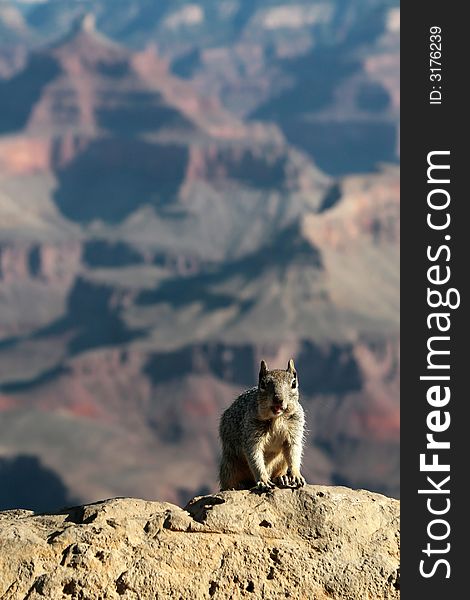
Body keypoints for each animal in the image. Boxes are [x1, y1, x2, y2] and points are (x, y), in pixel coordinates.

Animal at [218, 356, 306, 492]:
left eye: (293, 383)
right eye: (263, 384)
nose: (278, 399)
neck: (277, 418)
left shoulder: (294, 430)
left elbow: (294, 451)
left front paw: (296, 475)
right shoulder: (251, 431)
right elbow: (254, 455)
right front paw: (263, 480)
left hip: (281, 462)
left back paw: (281, 478)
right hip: (230, 464)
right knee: (230, 481)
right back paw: (236, 486)